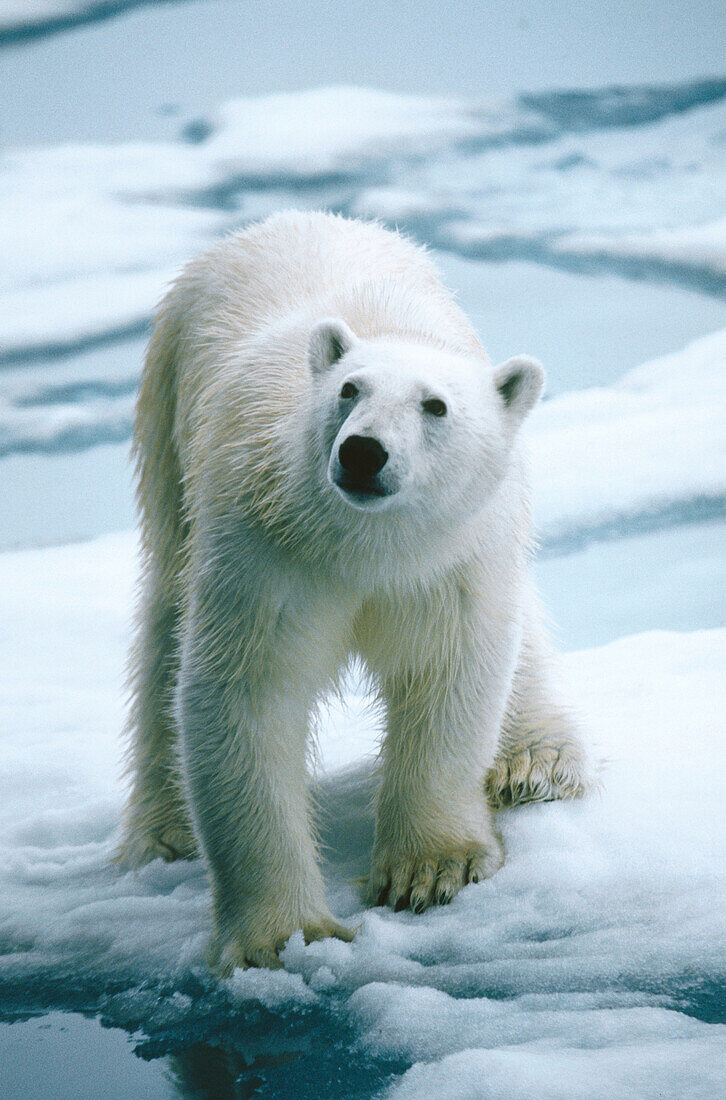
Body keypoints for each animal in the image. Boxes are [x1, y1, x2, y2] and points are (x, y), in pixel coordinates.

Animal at [117, 206, 585, 972]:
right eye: (349, 390)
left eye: (435, 406)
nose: (363, 452)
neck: (362, 546)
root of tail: (293, 216)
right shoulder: (266, 554)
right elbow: (247, 695)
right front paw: (282, 937)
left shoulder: (448, 563)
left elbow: (448, 671)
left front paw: (433, 867)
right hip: (168, 421)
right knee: (164, 618)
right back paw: (162, 832)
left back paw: (537, 762)